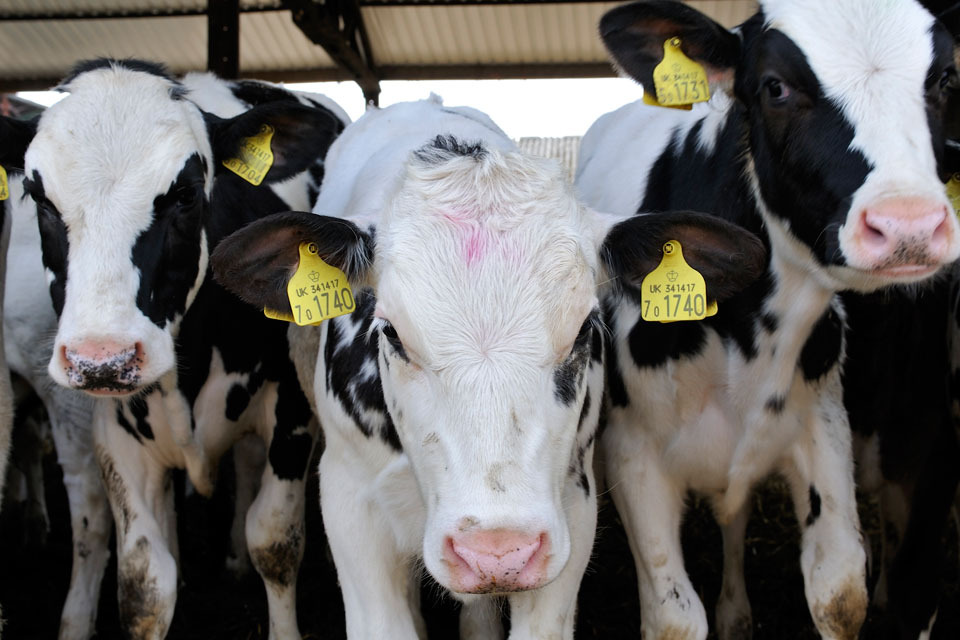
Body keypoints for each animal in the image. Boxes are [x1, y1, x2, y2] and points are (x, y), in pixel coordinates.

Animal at [5, 58, 347, 639]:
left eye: (186, 194)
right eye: (40, 197)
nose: (102, 358)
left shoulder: (291, 411)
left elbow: (275, 541)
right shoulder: (115, 430)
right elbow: (144, 583)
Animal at [574, 1, 960, 638]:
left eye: (945, 78)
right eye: (775, 87)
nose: (908, 225)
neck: (747, 331)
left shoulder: (830, 426)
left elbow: (840, 593)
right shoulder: (633, 451)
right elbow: (674, 617)